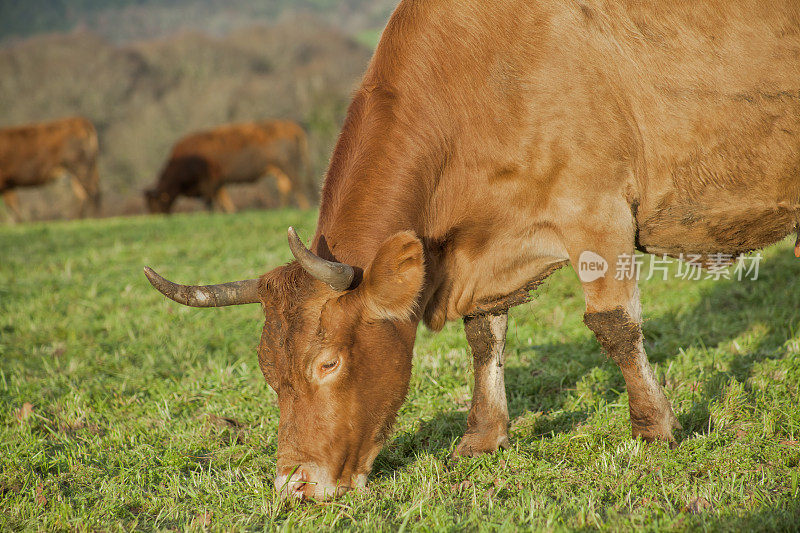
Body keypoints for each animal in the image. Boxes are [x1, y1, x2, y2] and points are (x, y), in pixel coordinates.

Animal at [145, 119, 314, 213]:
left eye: (156, 203)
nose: (155, 216)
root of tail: (292, 126)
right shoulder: (218, 181)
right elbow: (223, 199)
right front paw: (231, 211)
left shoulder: (210, 181)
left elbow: (211, 201)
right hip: (280, 169)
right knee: (285, 187)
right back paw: (282, 209)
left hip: (288, 165)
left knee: (297, 185)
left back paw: (305, 207)